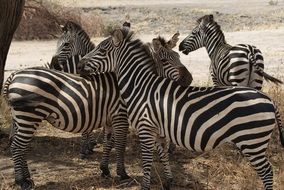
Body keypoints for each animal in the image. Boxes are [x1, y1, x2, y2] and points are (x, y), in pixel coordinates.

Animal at [3, 67, 131, 189]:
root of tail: (14, 74)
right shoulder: (120, 115)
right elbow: (120, 146)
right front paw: (123, 174)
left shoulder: (111, 120)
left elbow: (108, 144)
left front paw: (105, 170)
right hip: (29, 117)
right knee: (17, 147)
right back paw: (21, 181)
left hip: (19, 119)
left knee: (20, 146)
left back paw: (27, 178)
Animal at [77, 28, 284, 190]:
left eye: (102, 50)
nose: (79, 65)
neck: (141, 86)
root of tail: (268, 99)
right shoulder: (159, 131)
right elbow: (162, 156)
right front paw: (168, 181)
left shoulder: (145, 128)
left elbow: (146, 161)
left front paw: (145, 186)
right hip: (254, 140)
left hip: (252, 140)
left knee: (267, 172)